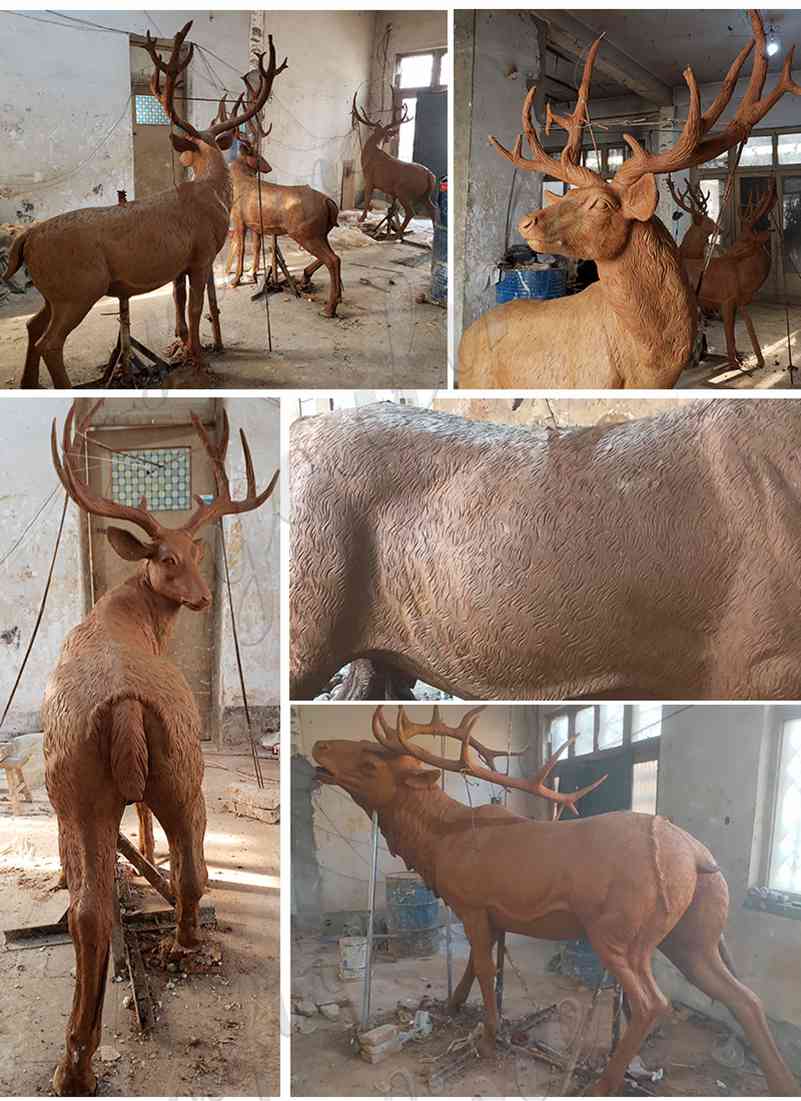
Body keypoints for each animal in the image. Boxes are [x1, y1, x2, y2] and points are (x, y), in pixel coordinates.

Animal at [2, 23, 286, 388]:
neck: (212, 192)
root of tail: (27, 238)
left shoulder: (179, 261)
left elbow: (179, 302)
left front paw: (180, 344)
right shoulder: (201, 255)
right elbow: (195, 308)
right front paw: (198, 360)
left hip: (55, 291)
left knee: (32, 325)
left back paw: (29, 382)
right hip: (78, 288)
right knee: (49, 342)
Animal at [43, 400, 278, 1096]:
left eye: (196, 550)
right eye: (164, 556)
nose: (201, 595)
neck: (134, 619)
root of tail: (123, 704)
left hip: (80, 786)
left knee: (92, 908)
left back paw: (77, 1060)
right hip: (180, 763)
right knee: (187, 870)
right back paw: (179, 950)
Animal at [223, 95, 343, 317]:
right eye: (257, 155)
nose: (268, 167)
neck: (239, 181)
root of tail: (329, 203)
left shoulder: (239, 220)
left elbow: (242, 249)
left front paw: (235, 280)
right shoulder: (256, 225)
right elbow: (256, 249)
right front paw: (254, 275)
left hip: (305, 232)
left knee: (333, 259)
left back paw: (329, 308)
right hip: (321, 232)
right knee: (336, 257)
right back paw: (333, 294)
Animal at [313, 706, 798, 1096]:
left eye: (369, 760)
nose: (319, 744)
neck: (435, 847)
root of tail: (699, 858)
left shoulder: (471, 903)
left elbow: (485, 970)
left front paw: (488, 1038)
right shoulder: (494, 914)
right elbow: (473, 966)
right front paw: (451, 1007)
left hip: (621, 932)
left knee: (652, 1003)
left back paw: (603, 1083)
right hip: (693, 937)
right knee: (745, 998)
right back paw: (780, 1081)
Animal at [352, 91, 438, 237]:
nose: (389, 138)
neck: (370, 153)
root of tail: (430, 176)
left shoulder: (369, 179)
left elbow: (367, 199)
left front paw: (362, 218)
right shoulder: (390, 192)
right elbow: (391, 210)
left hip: (404, 190)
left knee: (411, 212)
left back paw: (397, 234)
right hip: (424, 195)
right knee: (433, 209)